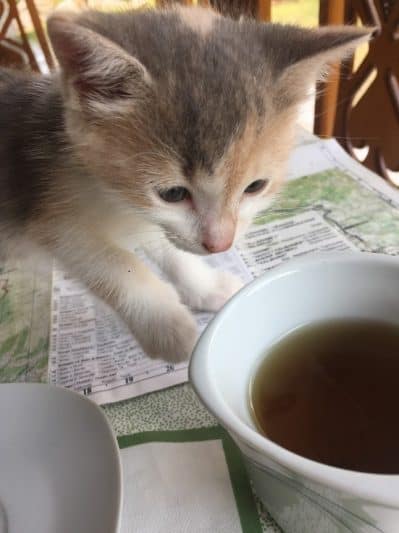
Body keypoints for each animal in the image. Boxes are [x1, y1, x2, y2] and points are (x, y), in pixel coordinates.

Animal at [0, 4, 370, 360]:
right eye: (173, 193)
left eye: (255, 187)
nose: (220, 245)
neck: (111, 195)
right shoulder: (45, 207)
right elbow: (109, 260)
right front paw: (166, 324)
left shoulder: (146, 216)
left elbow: (169, 247)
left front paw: (204, 286)